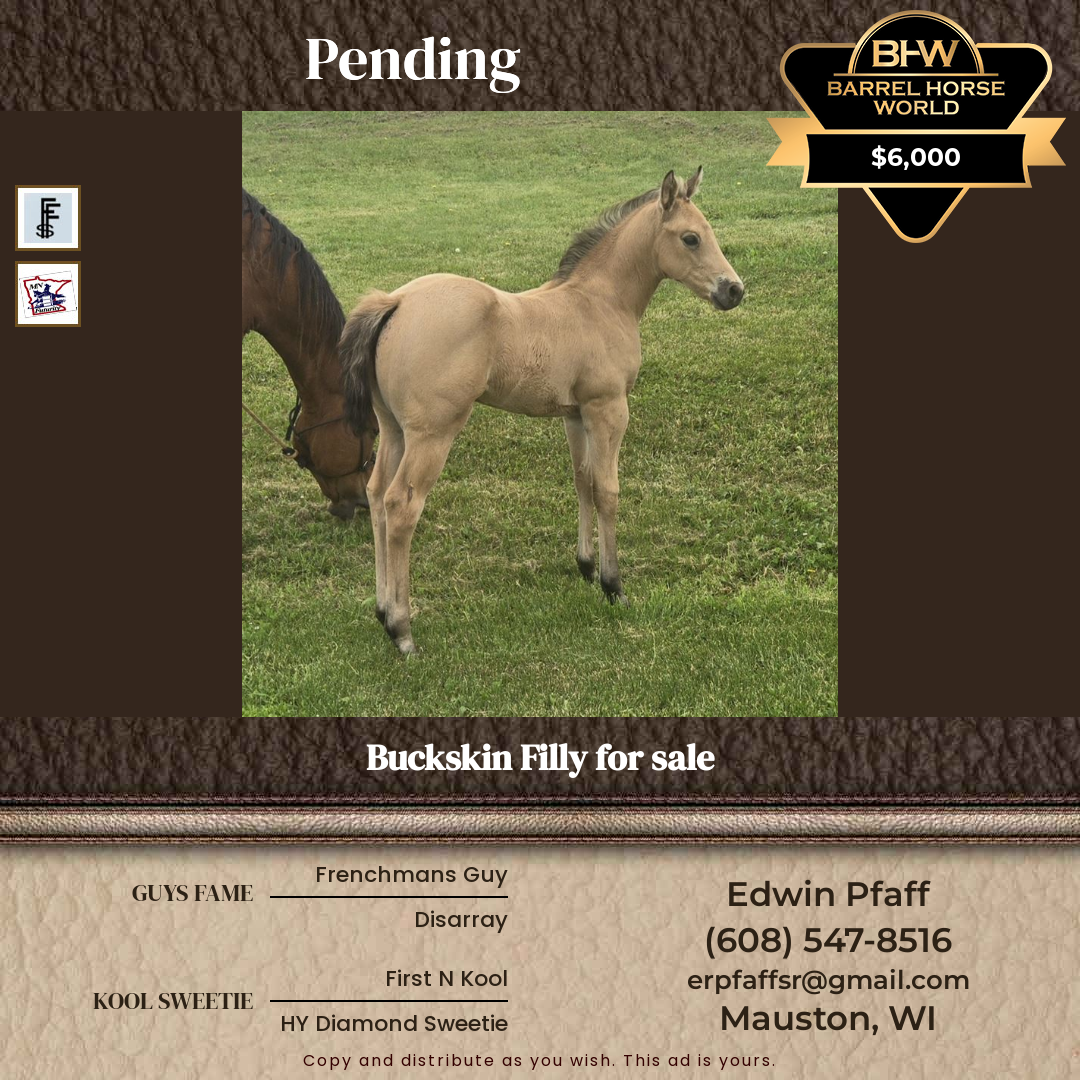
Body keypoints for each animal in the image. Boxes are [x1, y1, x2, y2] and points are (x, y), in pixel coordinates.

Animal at [340, 168, 743, 654]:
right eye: (690, 238)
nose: (734, 290)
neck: (600, 302)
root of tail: (395, 302)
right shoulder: (609, 409)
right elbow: (608, 490)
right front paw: (614, 585)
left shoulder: (575, 414)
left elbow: (583, 481)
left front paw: (586, 566)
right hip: (432, 434)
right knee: (402, 506)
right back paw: (402, 631)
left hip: (394, 430)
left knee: (377, 495)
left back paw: (383, 612)